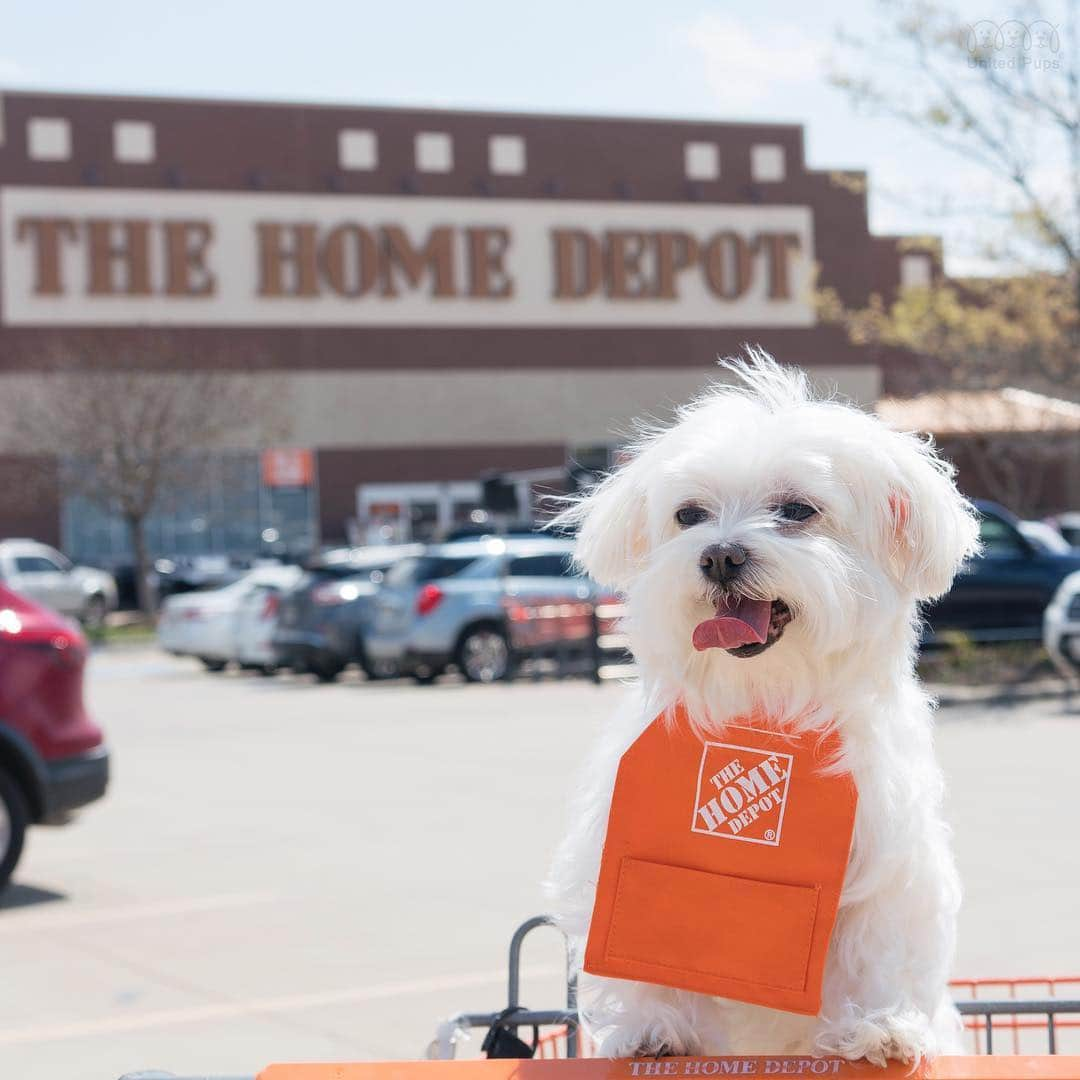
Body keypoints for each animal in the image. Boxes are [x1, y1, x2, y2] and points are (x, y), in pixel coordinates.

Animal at [548, 352, 980, 1062]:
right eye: (689, 515)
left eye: (798, 509)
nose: (720, 554)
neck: (762, 710)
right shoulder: (630, 850)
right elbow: (642, 944)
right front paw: (654, 1026)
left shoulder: (887, 861)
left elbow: (877, 947)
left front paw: (877, 1025)